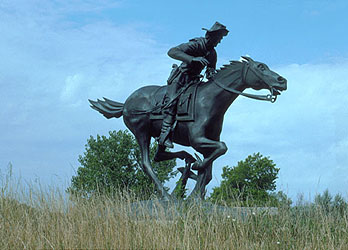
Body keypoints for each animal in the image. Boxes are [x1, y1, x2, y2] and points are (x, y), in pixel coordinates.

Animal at [90, 56, 288, 199]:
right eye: (260, 67)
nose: (282, 81)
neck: (210, 99)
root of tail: (125, 104)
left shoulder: (208, 141)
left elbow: (209, 170)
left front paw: (195, 191)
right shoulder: (197, 140)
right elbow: (221, 150)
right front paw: (195, 176)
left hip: (159, 136)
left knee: (159, 155)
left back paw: (185, 161)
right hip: (141, 132)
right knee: (147, 163)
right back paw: (167, 196)